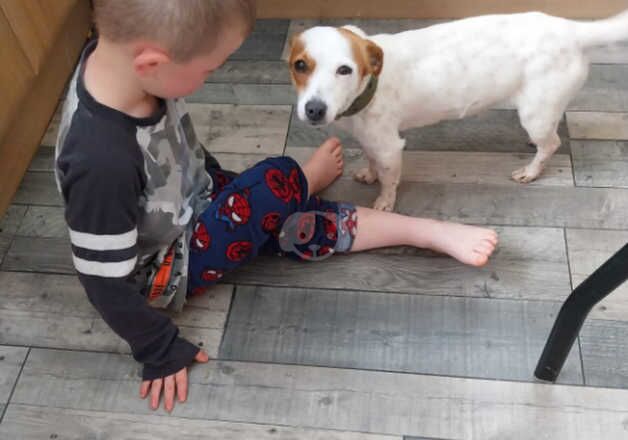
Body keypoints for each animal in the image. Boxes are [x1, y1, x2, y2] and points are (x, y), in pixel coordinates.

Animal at [288, 9, 628, 210]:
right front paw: (369, 174)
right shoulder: (370, 140)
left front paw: (384, 201)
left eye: (344, 70)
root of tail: (572, 30)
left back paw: (531, 170)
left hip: (535, 113)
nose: (315, 109)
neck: (368, 87)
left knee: (552, 144)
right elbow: (372, 163)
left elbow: (389, 181)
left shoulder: (389, 146)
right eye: (299, 65)